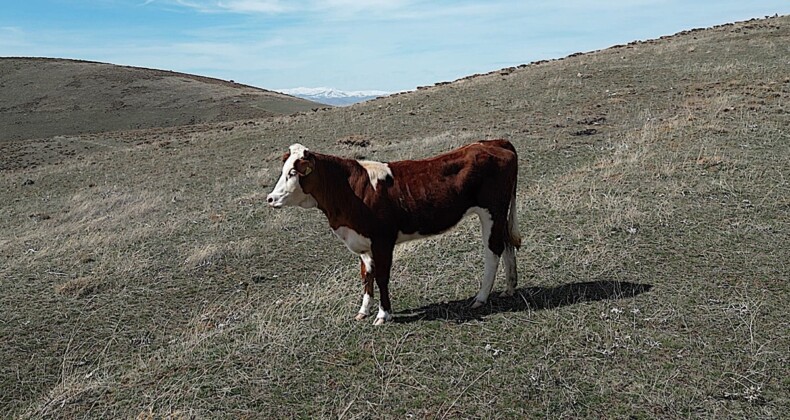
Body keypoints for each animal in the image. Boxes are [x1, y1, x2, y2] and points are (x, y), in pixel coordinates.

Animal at [270, 139, 524, 326]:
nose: (270, 198)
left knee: (493, 250)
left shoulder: (383, 240)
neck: (349, 190)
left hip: (491, 211)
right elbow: (366, 275)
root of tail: (494, 142)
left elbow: (382, 276)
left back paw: (481, 298)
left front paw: (383, 315)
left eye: (293, 172)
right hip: (500, 213)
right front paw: (363, 311)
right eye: (284, 170)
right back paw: (509, 288)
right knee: (507, 244)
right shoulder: (362, 242)